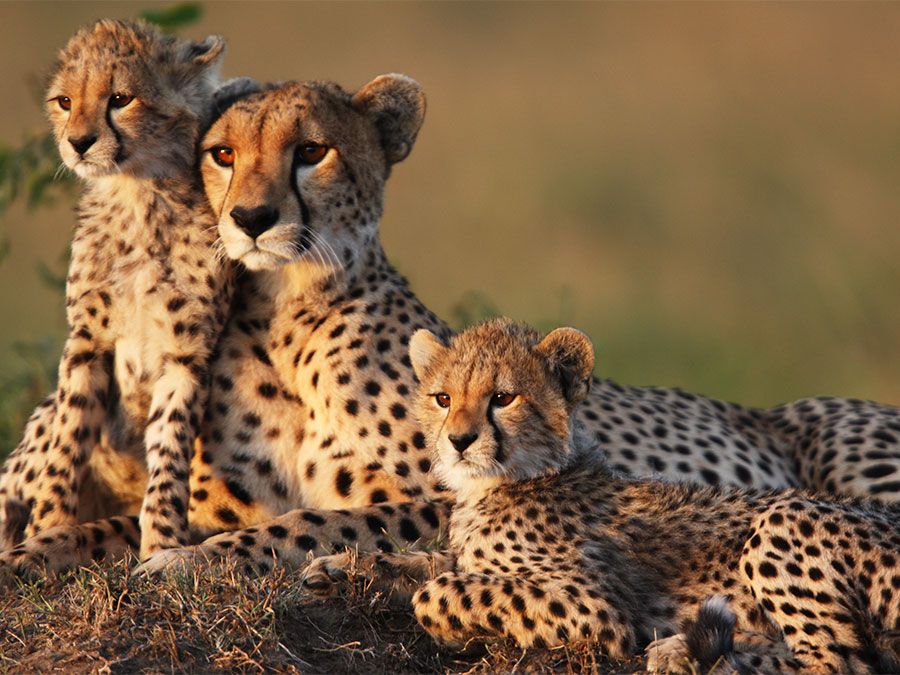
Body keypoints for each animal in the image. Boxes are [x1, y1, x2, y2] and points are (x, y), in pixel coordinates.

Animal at [0, 21, 236, 560]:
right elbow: (68, 440)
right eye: (65, 101)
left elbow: (169, 450)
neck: (136, 194)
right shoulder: (86, 343)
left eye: (121, 99)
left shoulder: (186, 353)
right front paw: (49, 525)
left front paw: (162, 542)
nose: (78, 142)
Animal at [304, 320, 900, 675]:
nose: (459, 441)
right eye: (443, 398)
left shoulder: (596, 608)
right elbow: (424, 562)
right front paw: (339, 568)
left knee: (839, 662)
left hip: (782, 518)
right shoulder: (465, 554)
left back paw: (696, 657)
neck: (511, 479)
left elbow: (440, 591)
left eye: (503, 398)